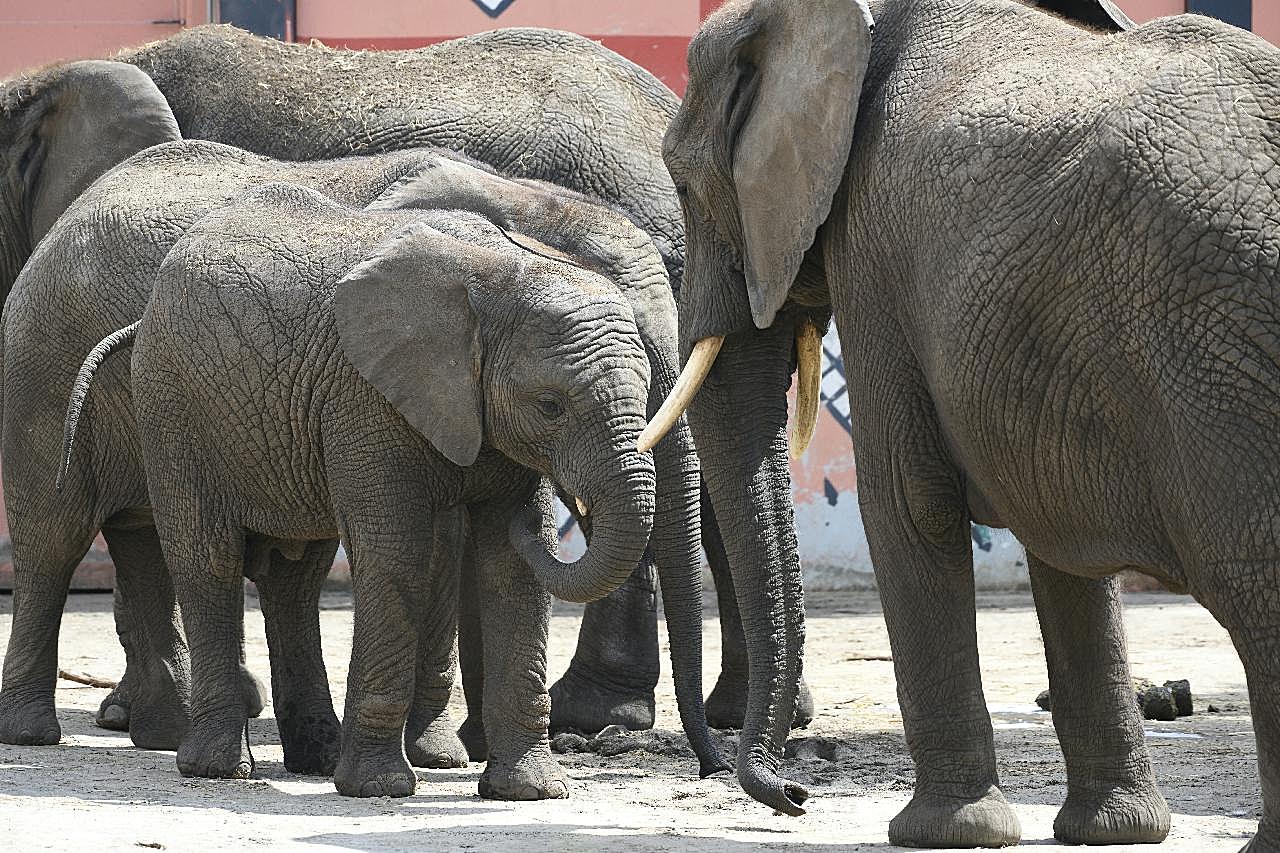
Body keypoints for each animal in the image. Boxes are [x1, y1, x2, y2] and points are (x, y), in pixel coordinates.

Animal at [2, 134, 721, 788]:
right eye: (550, 406)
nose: (714, 767)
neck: (518, 216)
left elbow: (501, 563)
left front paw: (502, 779)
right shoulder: (374, 394)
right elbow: (415, 549)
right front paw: (413, 770)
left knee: (208, 555)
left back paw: (213, 743)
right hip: (75, 371)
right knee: (68, 537)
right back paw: (58, 737)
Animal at [645, 0, 1280, 845]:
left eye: (683, 185)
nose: (795, 794)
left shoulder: (874, 249)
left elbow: (905, 501)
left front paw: (946, 831)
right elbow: (1056, 533)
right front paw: (1114, 830)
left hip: (1211, 342)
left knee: (1252, 580)